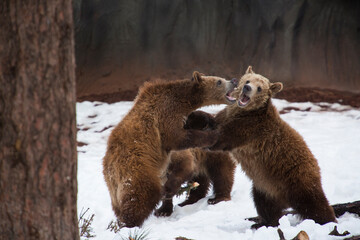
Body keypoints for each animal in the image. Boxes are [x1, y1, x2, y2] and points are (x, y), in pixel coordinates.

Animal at [102, 71, 238, 227]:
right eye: (219, 81)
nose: (234, 80)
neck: (181, 101)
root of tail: (109, 170)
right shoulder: (165, 117)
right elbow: (180, 138)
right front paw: (213, 134)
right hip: (137, 170)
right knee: (142, 195)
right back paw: (130, 222)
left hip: (116, 187)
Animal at [208, 66, 338, 228]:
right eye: (248, 80)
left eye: (259, 88)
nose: (247, 88)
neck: (244, 111)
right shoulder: (227, 115)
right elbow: (215, 121)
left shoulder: (250, 128)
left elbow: (222, 138)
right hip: (265, 184)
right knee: (264, 203)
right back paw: (263, 222)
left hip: (295, 177)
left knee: (313, 204)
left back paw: (330, 224)